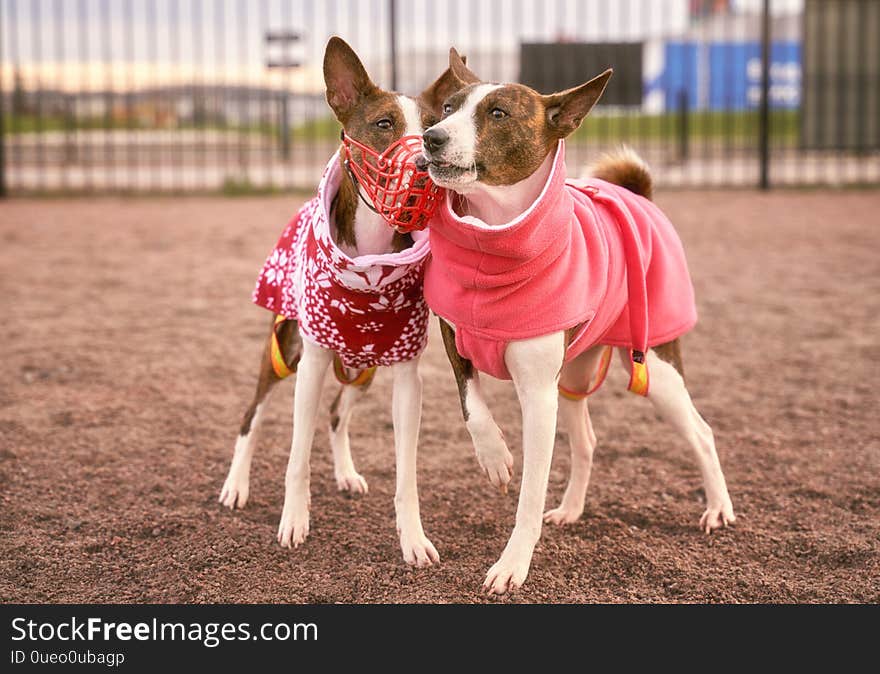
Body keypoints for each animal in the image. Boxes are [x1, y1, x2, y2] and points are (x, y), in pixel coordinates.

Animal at [218, 36, 454, 568]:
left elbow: (406, 472)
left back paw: (346, 474)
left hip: (363, 369)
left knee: (336, 415)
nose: (425, 167)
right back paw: (236, 485)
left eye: (432, 130)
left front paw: (413, 537)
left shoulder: (406, 378)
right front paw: (294, 520)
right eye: (384, 123)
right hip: (283, 351)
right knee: (251, 416)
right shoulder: (313, 362)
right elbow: (296, 457)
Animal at [420, 50, 736, 592]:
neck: (492, 241)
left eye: (498, 113)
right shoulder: (454, 340)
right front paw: (494, 456)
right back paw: (570, 510)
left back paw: (718, 507)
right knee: (587, 441)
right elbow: (471, 405)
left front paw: (512, 565)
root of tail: (640, 195)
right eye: (446, 106)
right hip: (572, 373)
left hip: (655, 369)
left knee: (701, 432)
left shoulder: (537, 395)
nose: (431, 136)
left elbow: (529, 493)